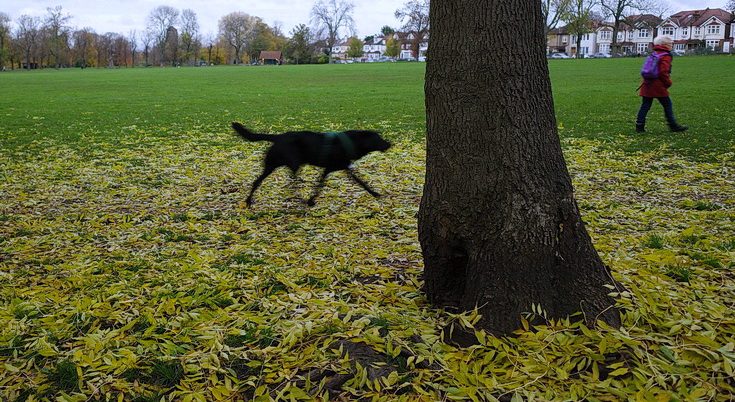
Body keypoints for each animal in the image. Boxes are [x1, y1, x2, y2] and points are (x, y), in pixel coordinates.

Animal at [231, 121, 392, 204]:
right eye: (378, 138)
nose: (389, 143)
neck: (353, 142)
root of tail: (278, 137)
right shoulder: (329, 168)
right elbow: (320, 184)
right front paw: (311, 199)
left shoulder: (343, 167)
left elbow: (360, 181)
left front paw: (374, 193)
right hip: (290, 163)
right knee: (290, 182)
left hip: (275, 165)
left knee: (261, 181)